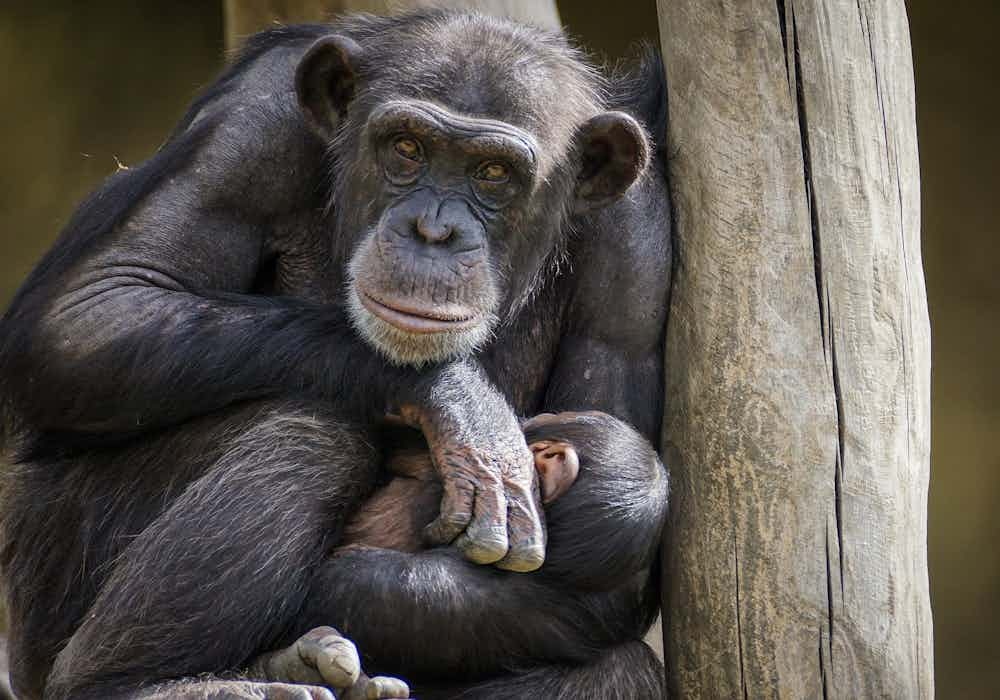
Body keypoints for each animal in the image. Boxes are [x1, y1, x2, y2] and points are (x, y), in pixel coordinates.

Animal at [0, 9, 672, 700]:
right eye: (406, 148)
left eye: (493, 173)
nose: (433, 231)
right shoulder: (253, 124)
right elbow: (93, 309)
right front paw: (461, 404)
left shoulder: (638, 246)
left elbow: (604, 582)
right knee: (317, 436)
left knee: (616, 669)